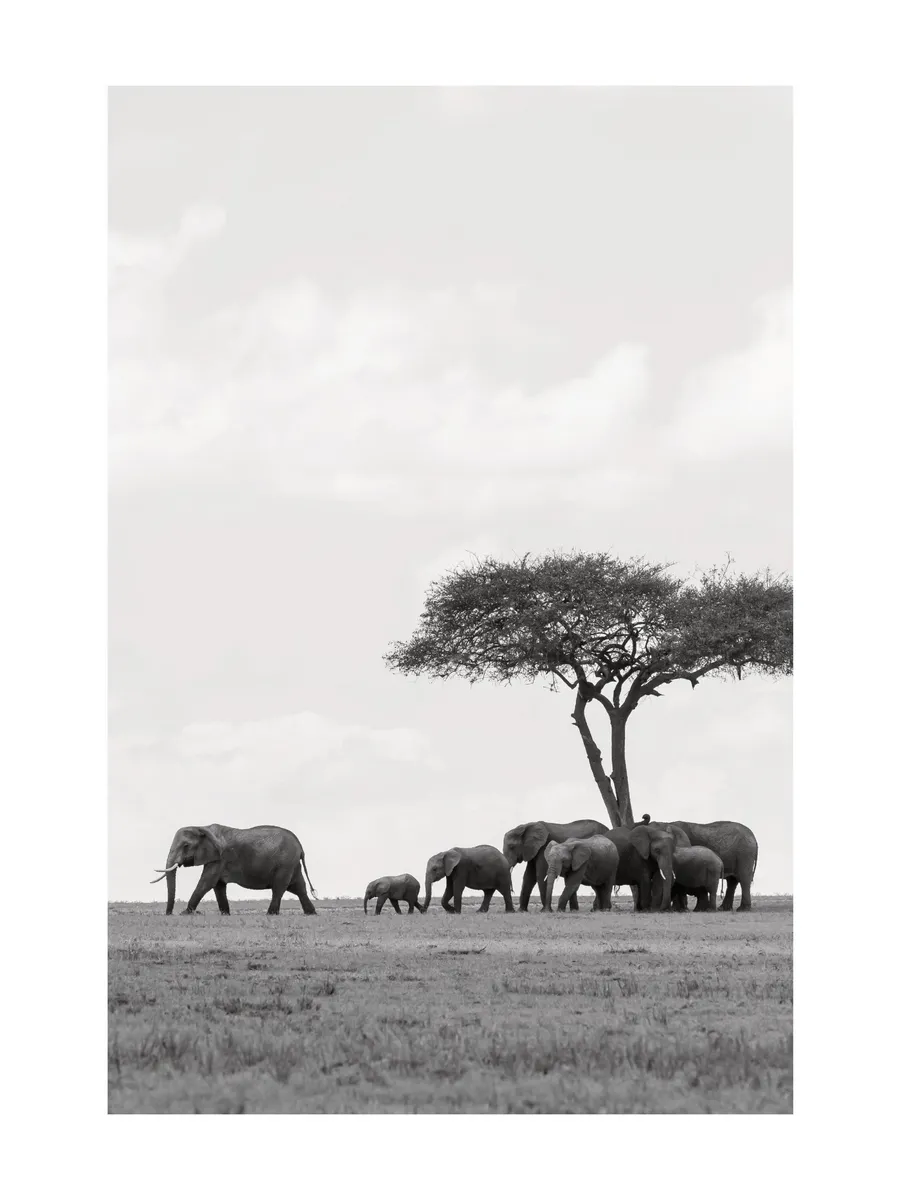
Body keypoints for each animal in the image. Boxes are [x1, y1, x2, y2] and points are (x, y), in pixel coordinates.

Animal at [150, 824, 317, 916]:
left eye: (186, 846)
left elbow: (206, 882)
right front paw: (225, 914)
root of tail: (301, 847)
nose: (169, 914)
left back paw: (270, 914)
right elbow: (218, 886)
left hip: (285, 864)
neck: (203, 827)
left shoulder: (220, 857)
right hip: (292, 864)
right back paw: (311, 913)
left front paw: (185, 913)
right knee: (299, 888)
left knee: (279, 888)